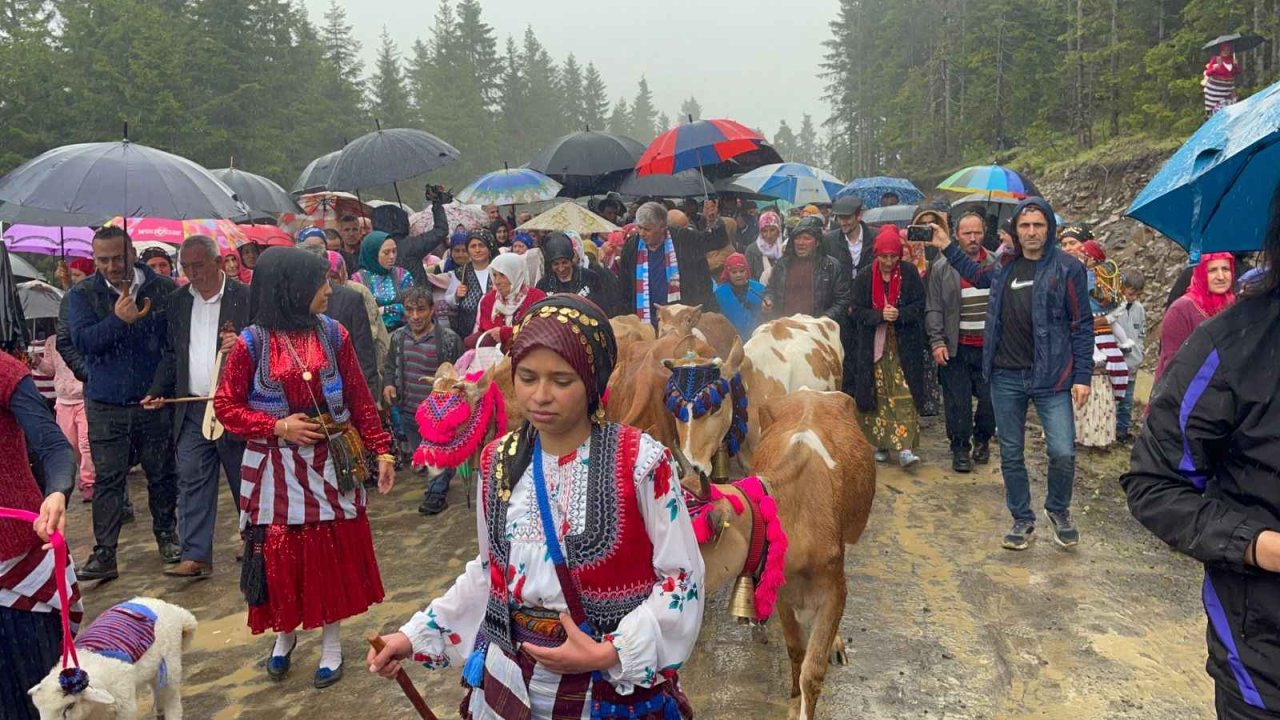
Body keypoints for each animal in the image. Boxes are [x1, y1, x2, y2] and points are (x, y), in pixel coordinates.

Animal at [28, 594, 194, 717]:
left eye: (70, 706)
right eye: (39, 709)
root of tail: (173, 609)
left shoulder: (125, 707)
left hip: (171, 665)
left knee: (172, 700)